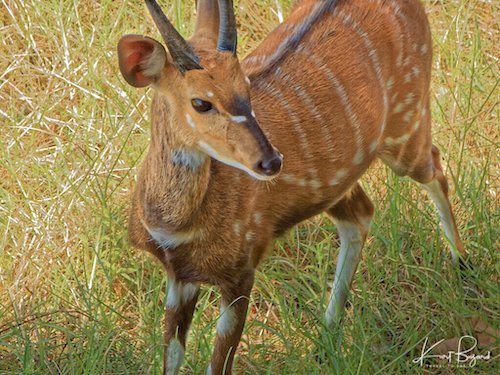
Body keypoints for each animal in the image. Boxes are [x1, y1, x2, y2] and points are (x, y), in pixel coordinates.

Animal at [116, 0, 464, 372]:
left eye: (247, 87)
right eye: (200, 102)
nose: (270, 161)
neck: (176, 227)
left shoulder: (241, 270)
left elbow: (219, 362)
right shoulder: (179, 277)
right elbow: (170, 356)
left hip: (406, 127)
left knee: (435, 164)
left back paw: (462, 262)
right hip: (335, 181)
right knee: (361, 214)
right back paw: (325, 338)